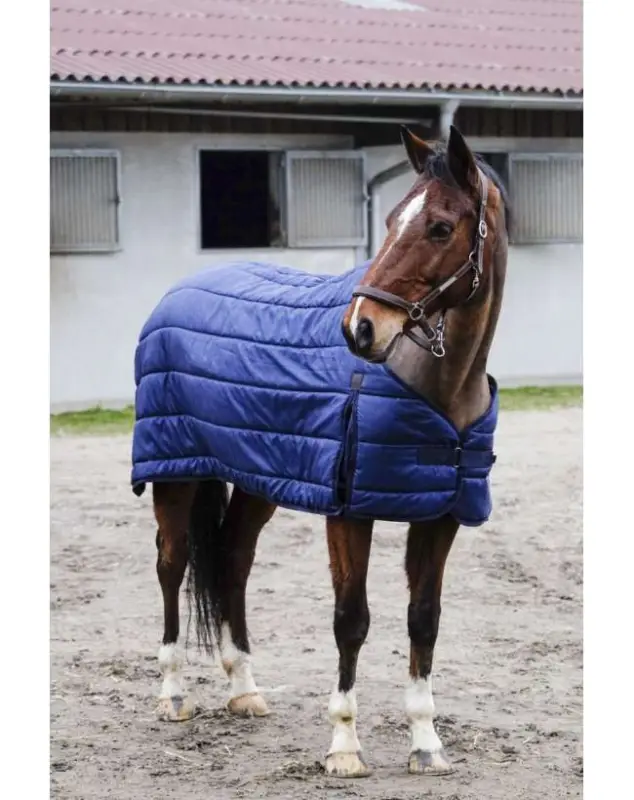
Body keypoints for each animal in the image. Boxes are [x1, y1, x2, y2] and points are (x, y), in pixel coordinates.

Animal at [131, 125, 509, 778]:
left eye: (440, 227)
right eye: (391, 220)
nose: (360, 329)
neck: (436, 386)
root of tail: (175, 294)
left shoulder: (439, 515)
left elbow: (424, 620)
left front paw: (425, 743)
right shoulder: (348, 510)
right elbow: (350, 620)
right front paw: (344, 747)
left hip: (257, 479)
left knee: (232, 560)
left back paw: (244, 689)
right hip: (175, 473)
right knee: (171, 564)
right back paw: (173, 694)